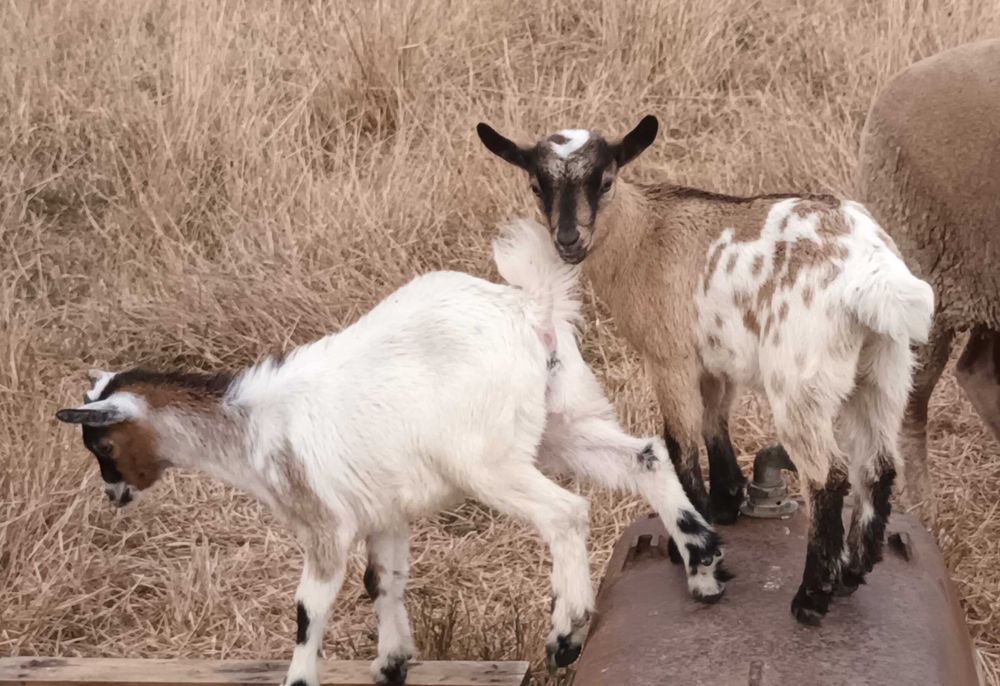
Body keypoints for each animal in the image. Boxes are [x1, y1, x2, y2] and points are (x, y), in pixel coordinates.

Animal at [56, 218, 725, 686]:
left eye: (102, 443)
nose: (114, 494)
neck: (250, 427)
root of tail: (530, 308)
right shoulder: (385, 513)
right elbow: (385, 580)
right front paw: (392, 664)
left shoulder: (324, 523)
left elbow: (309, 607)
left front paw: (301, 678)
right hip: (563, 422)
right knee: (645, 456)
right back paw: (702, 566)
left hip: (488, 461)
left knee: (565, 513)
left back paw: (566, 632)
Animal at [477, 117, 934, 625]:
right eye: (536, 186)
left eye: (606, 180)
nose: (568, 239)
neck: (643, 234)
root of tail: (874, 272)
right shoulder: (716, 362)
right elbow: (716, 422)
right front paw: (726, 502)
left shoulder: (669, 356)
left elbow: (681, 441)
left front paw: (690, 547)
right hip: (885, 370)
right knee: (879, 464)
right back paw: (854, 571)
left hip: (800, 382)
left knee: (828, 475)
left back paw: (812, 597)